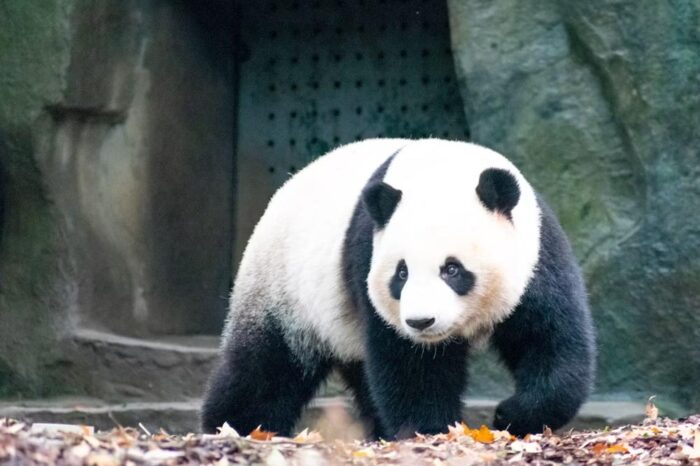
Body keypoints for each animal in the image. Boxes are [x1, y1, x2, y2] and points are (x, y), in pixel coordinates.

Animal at [201, 138, 595, 439]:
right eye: (401, 273)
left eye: (452, 269)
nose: (422, 322)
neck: (440, 170)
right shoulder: (368, 257)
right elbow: (411, 365)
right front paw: (432, 430)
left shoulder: (537, 256)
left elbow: (551, 340)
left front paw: (512, 414)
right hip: (284, 288)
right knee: (266, 367)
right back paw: (235, 426)